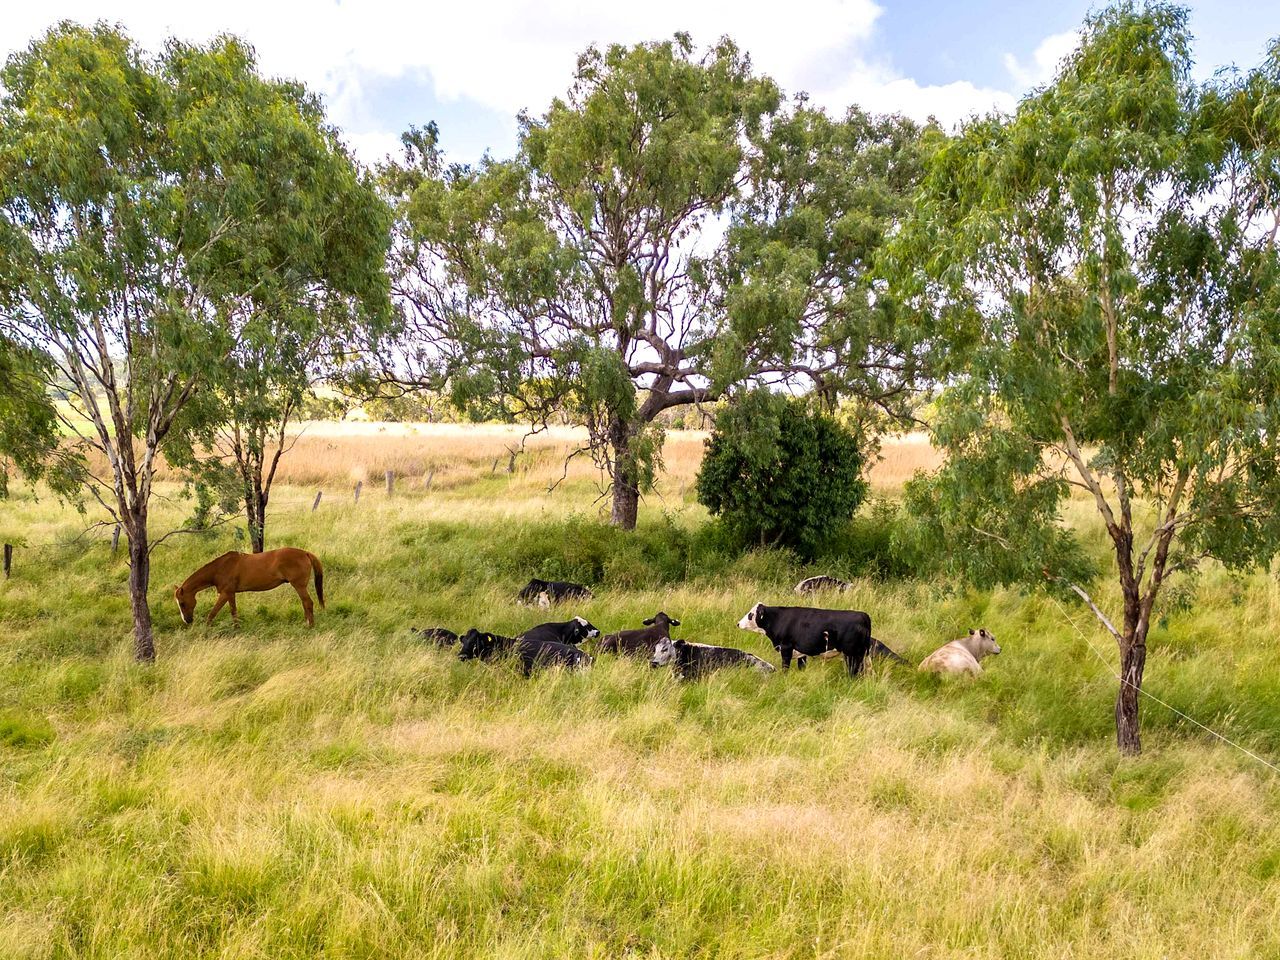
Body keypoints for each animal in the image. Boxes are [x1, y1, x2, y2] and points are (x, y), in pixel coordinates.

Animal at [174, 547, 325, 627]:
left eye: (182, 603)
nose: (187, 621)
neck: (220, 568)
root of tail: (305, 553)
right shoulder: (230, 594)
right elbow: (233, 612)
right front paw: (236, 628)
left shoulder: (225, 593)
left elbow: (213, 613)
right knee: (305, 604)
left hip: (299, 586)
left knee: (308, 603)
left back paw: (310, 626)